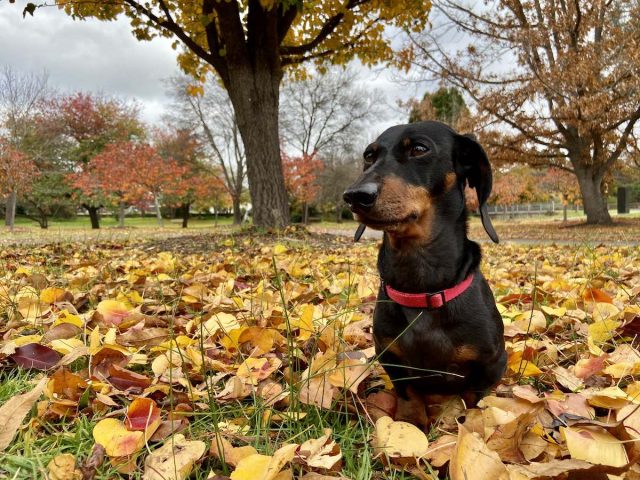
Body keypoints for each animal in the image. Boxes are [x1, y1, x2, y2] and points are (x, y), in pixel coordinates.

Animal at [342, 122, 508, 430]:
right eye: (369, 155)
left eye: (419, 149)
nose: (355, 196)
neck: (422, 289)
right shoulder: (391, 356)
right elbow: (407, 392)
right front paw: (410, 424)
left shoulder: (491, 364)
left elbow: (472, 398)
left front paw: (468, 421)